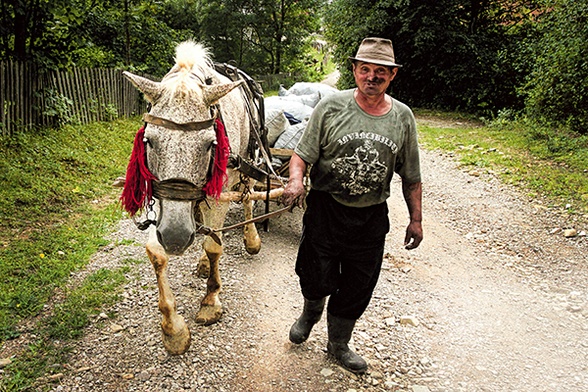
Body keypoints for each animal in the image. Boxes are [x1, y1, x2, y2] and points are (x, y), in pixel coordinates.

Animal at [121, 40, 266, 356]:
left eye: (211, 144)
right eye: (149, 140)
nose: (175, 237)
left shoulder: (220, 191)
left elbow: (214, 245)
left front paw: (211, 302)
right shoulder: (160, 200)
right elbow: (156, 253)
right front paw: (173, 329)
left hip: (248, 165)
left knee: (247, 200)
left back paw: (251, 238)